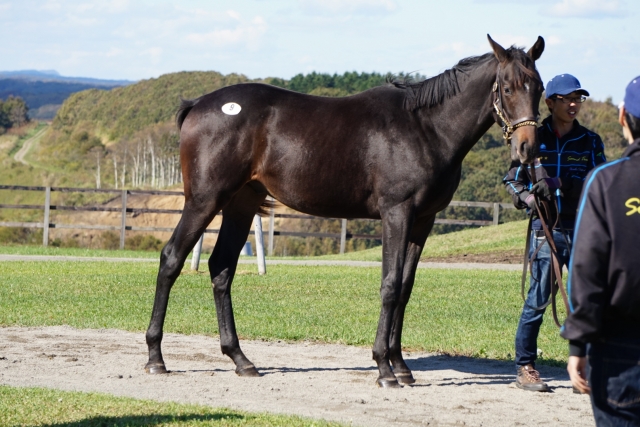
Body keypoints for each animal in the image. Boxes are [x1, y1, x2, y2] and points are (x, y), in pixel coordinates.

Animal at [145, 35, 545, 388]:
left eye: (538, 87)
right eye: (507, 88)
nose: (527, 149)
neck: (426, 127)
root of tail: (198, 104)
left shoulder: (423, 221)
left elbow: (405, 288)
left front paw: (401, 366)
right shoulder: (397, 214)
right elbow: (389, 285)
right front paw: (384, 368)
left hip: (242, 203)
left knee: (221, 269)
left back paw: (241, 360)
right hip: (204, 200)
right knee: (172, 259)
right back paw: (156, 358)